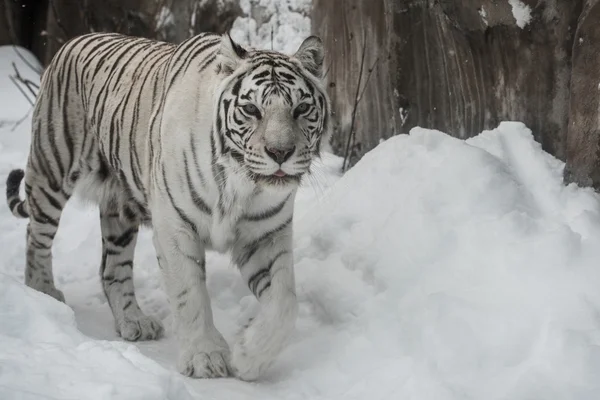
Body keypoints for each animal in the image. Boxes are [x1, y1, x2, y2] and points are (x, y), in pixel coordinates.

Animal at [4, 31, 330, 382]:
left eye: (301, 108)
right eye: (251, 109)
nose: (280, 152)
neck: (240, 183)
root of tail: (75, 39)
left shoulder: (267, 234)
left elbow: (284, 303)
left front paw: (248, 356)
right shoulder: (175, 226)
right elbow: (191, 294)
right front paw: (205, 357)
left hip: (119, 210)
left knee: (112, 269)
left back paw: (134, 321)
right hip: (51, 169)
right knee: (36, 235)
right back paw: (43, 291)